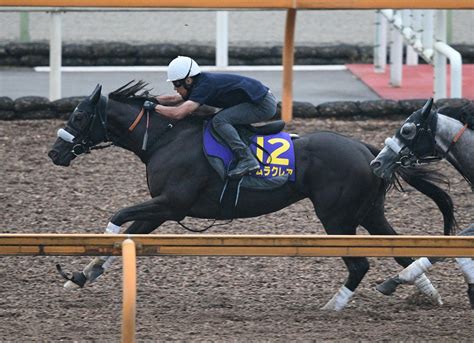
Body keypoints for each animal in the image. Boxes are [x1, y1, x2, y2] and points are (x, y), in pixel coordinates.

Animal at [48, 83, 456, 312]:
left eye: (80, 116)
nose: (54, 153)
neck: (165, 138)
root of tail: (365, 148)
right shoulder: (162, 210)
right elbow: (129, 233)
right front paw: (81, 276)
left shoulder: (171, 203)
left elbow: (118, 217)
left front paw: (85, 263)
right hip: (369, 212)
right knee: (402, 250)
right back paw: (429, 294)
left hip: (337, 218)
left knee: (360, 265)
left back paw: (333, 307)